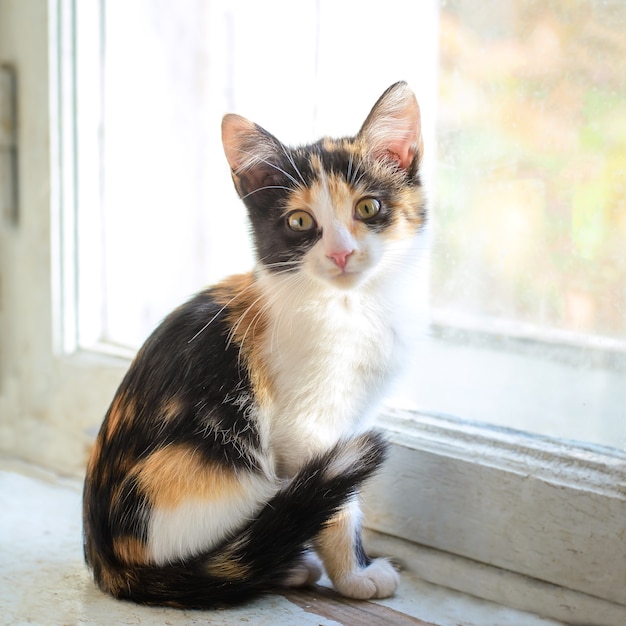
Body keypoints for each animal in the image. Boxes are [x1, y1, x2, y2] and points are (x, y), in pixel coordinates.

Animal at [81, 80, 424, 608]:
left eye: (368, 208)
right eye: (300, 222)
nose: (341, 253)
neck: (351, 306)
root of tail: (108, 562)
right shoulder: (305, 431)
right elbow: (340, 506)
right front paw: (357, 576)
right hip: (212, 475)